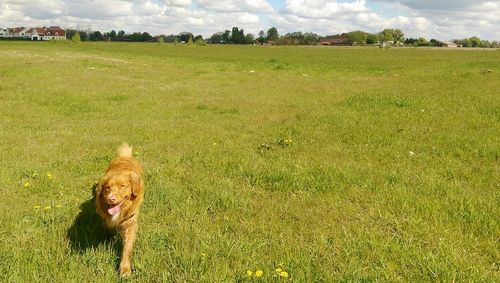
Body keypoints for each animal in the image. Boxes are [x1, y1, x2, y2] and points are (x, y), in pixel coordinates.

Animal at [95, 144, 145, 278]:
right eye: (107, 188)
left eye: (122, 186)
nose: (110, 198)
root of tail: (124, 156)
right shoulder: (105, 219)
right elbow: (108, 231)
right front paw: (109, 242)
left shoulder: (130, 223)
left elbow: (127, 248)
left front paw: (125, 269)